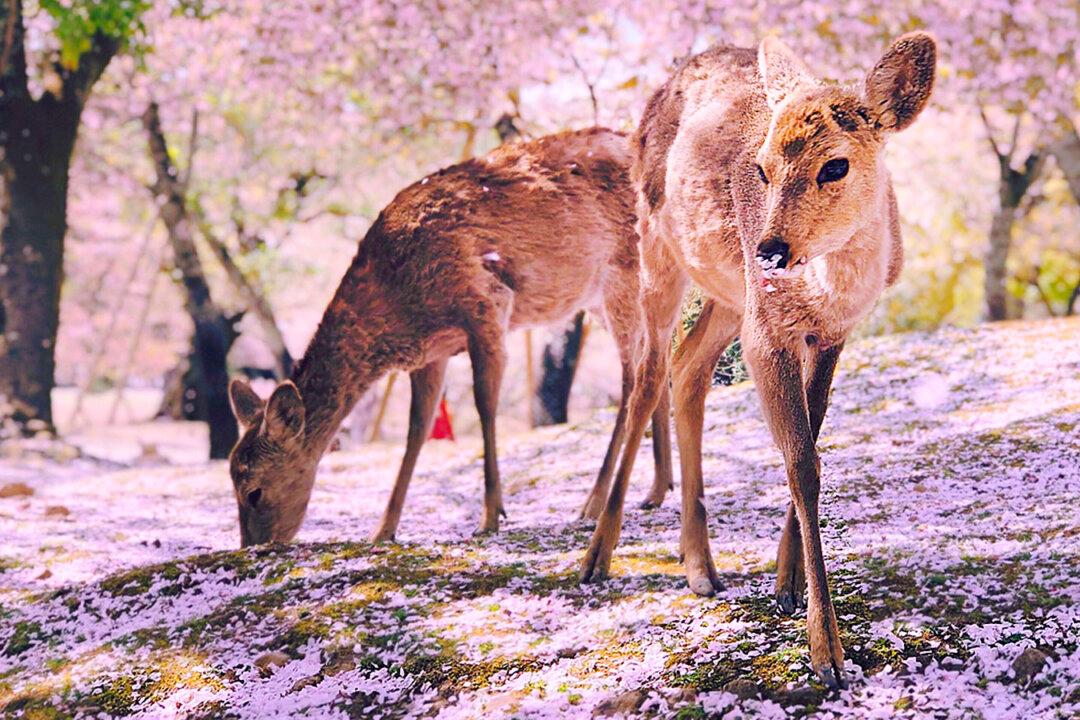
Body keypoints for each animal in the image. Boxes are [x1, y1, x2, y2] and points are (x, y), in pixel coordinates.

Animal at [226, 127, 674, 548]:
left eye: (254, 491)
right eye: (231, 481)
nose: (254, 546)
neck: (398, 305)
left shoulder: (486, 302)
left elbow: (484, 404)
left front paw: (491, 515)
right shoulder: (431, 353)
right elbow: (417, 429)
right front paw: (382, 529)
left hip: (622, 276)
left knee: (632, 375)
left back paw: (593, 502)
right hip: (606, 297)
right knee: (657, 360)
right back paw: (657, 488)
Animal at [577, 34, 936, 689]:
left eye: (836, 164)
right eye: (762, 168)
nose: (771, 248)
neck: (829, 293)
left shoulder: (830, 335)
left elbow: (811, 444)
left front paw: (786, 584)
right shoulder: (767, 334)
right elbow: (801, 461)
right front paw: (828, 654)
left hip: (727, 294)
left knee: (687, 368)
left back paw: (700, 566)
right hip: (659, 252)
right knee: (647, 376)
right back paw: (597, 557)